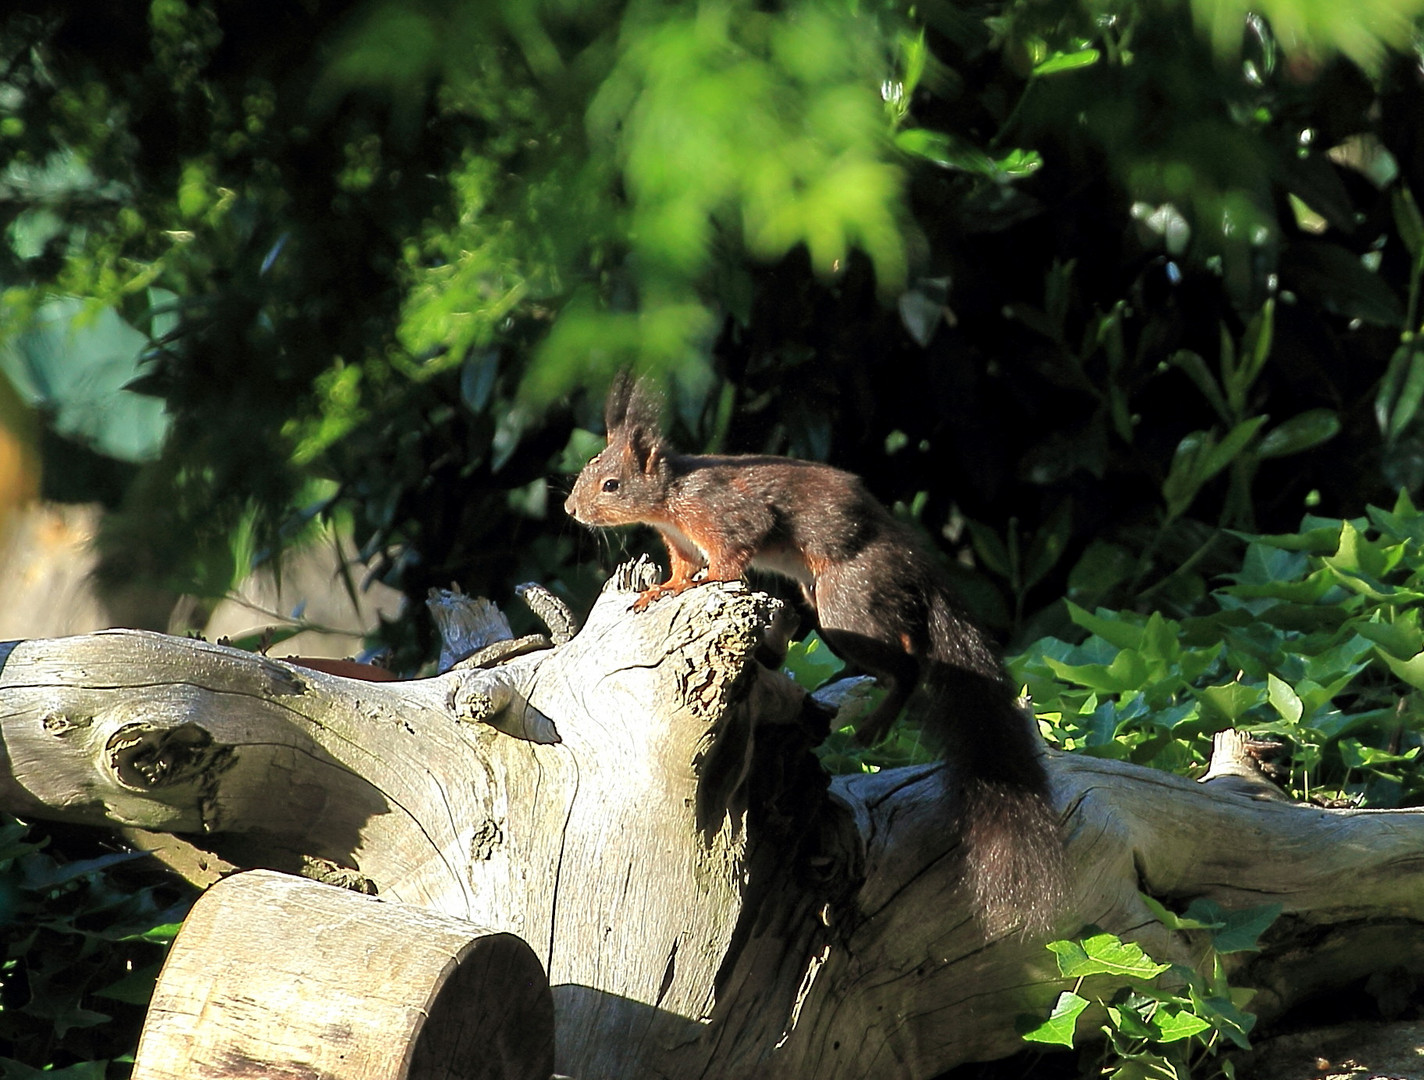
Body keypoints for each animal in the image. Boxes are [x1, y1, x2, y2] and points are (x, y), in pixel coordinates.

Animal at [561, 373, 1065, 940]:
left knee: (909, 663)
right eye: (588, 471)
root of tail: (909, 555)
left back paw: (875, 723)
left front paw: (709, 582)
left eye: (611, 485)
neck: (672, 499)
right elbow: (681, 569)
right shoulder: (681, 542)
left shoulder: (725, 518)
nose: (571, 510)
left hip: (845, 603)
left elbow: (732, 556)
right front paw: (660, 591)